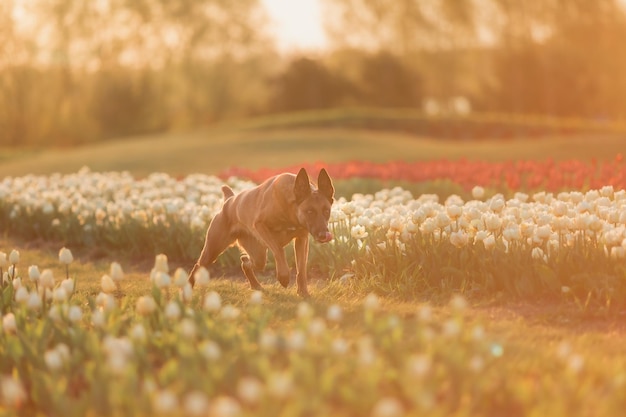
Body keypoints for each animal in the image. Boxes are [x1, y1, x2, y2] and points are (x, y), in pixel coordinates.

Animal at [188, 167, 334, 298]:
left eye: (326, 211)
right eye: (310, 211)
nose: (323, 235)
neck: (290, 210)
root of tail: (230, 200)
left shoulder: (302, 239)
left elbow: (301, 269)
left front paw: (303, 292)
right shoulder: (260, 225)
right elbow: (279, 250)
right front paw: (284, 276)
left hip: (258, 254)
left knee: (247, 262)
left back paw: (255, 283)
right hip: (213, 250)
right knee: (197, 265)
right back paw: (187, 289)